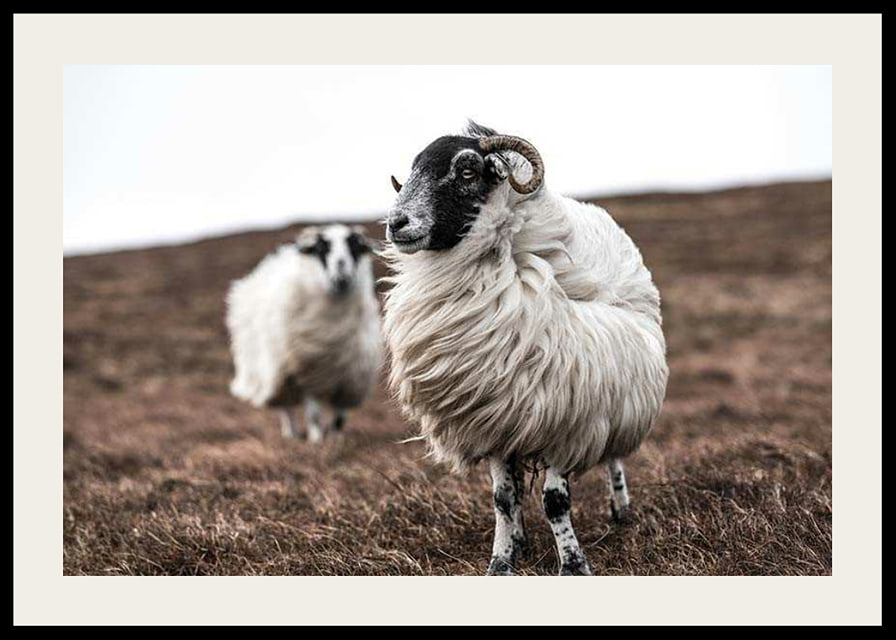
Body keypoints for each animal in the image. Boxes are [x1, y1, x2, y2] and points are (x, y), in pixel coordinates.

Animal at [226, 224, 383, 443]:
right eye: (321, 248)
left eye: (354, 247)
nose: (341, 275)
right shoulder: (307, 374)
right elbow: (313, 414)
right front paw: (316, 441)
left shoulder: (349, 378)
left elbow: (340, 417)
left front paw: (336, 440)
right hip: (277, 373)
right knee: (286, 408)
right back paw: (291, 434)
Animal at [381, 122, 669, 575]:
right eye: (412, 170)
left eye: (466, 171)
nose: (396, 223)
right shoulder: (496, 417)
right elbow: (503, 499)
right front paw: (501, 562)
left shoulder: (567, 417)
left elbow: (555, 501)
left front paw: (573, 565)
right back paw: (521, 540)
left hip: (615, 394)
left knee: (613, 458)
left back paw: (621, 510)